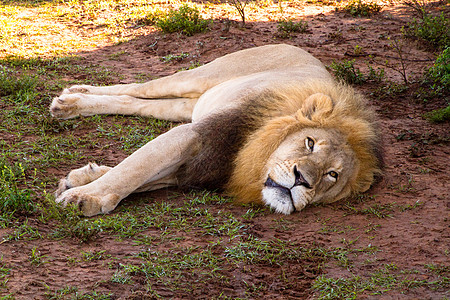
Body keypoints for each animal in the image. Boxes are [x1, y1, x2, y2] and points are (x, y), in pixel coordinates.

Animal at [50, 44, 384, 216]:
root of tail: (296, 47)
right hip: (198, 77)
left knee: (137, 102)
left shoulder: (196, 169)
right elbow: (134, 169)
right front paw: (86, 197)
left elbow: (142, 176)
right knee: (139, 87)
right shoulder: (194, 135)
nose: (302, 180)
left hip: (189, 104)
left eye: (332, 175)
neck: (254, 161)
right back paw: (72, 98)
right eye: (310, 143)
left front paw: (83, 180)